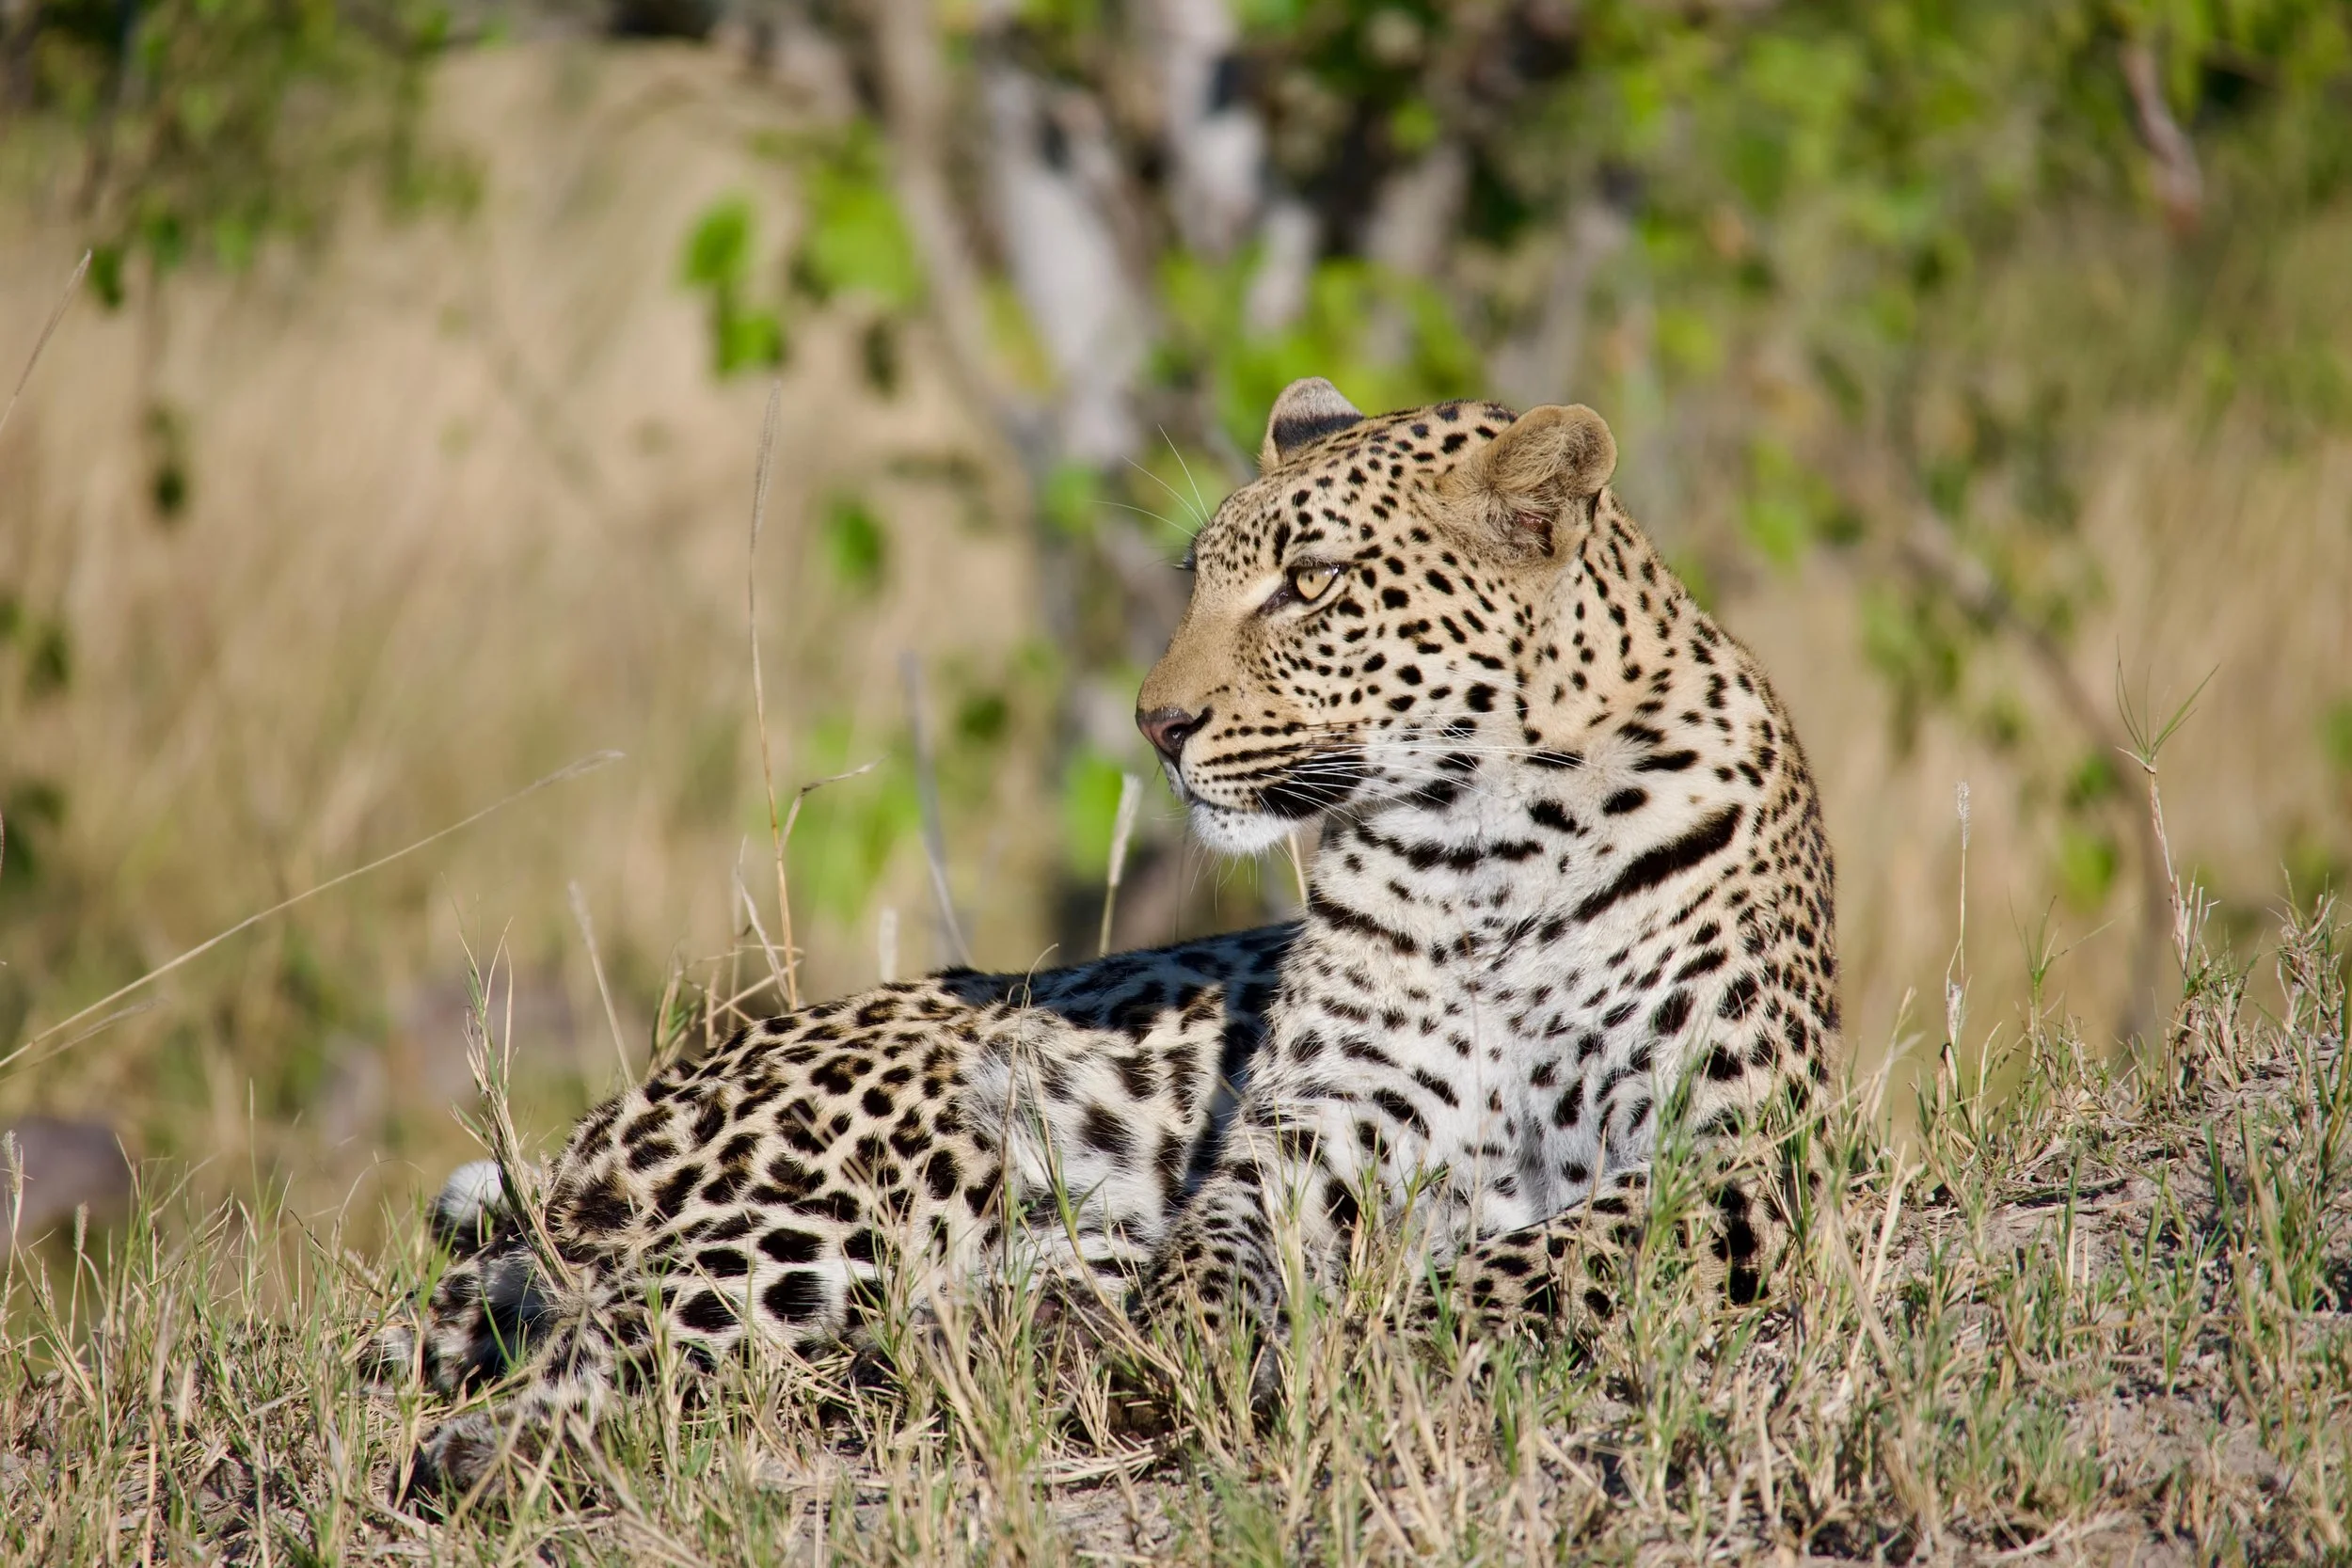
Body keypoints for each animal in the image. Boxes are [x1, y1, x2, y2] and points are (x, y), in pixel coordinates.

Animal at [382, 378, 1839, 1499]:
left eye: (1312, 585)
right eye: (1201, 581)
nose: (1157, 722)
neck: (1486, 844)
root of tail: (627, 1104)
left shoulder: (1750, 1150)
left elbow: (1543, 1251)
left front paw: (1376, 1331)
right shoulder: (1310, 1125)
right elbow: (1222, 1238)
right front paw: (1190, 1347)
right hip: (858, 1190)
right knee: (572, 1327)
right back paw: (495, 1455)